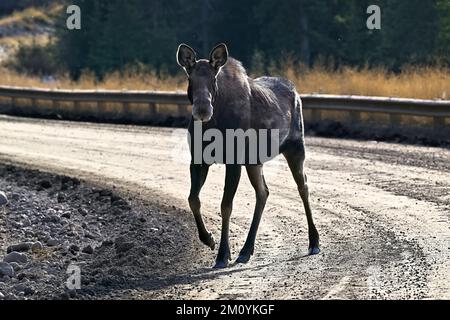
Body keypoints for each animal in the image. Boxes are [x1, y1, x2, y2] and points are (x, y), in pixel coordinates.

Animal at [177, 42, 320, 268]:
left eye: (213, 79)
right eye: (190, 79)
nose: (202, 110)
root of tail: (296, 90)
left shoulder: (233, 161)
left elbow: (226, 205)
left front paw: (222, 255)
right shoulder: (198, 159)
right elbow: (193, 199)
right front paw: (209, 239)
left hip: (296, 147)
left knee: (303, 187)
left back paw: (314, 242)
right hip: (255, 161)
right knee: (263, 192)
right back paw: (246, 250)